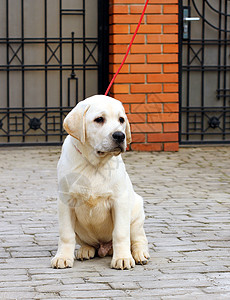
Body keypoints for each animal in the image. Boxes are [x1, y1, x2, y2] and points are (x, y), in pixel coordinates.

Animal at [51, 94, 150, 270]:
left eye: (121, 119)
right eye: (99, 119)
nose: (120, 135)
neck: (94, 164)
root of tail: (105, 248)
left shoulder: (120, 201)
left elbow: (120, 233)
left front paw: (123, 258)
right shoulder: (65, 201)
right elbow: (66, 234)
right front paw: (62, 257)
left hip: (136, 216)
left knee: (138, 239)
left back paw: (139, 254)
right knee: (87, 243)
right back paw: (85, 250)